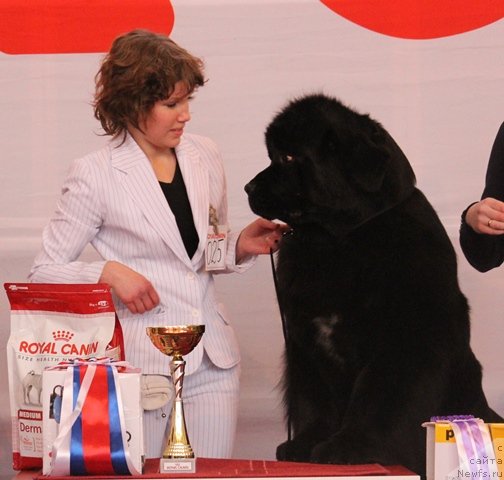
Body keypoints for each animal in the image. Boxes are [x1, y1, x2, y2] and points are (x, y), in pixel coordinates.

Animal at [244, 94, 500, 476]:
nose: (248, 188)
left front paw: (350, 447)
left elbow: (377, 399)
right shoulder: (305, 341)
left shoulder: (401, 344)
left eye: (288, 157)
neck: (339, 240)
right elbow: (313, 397)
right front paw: (305, 443)